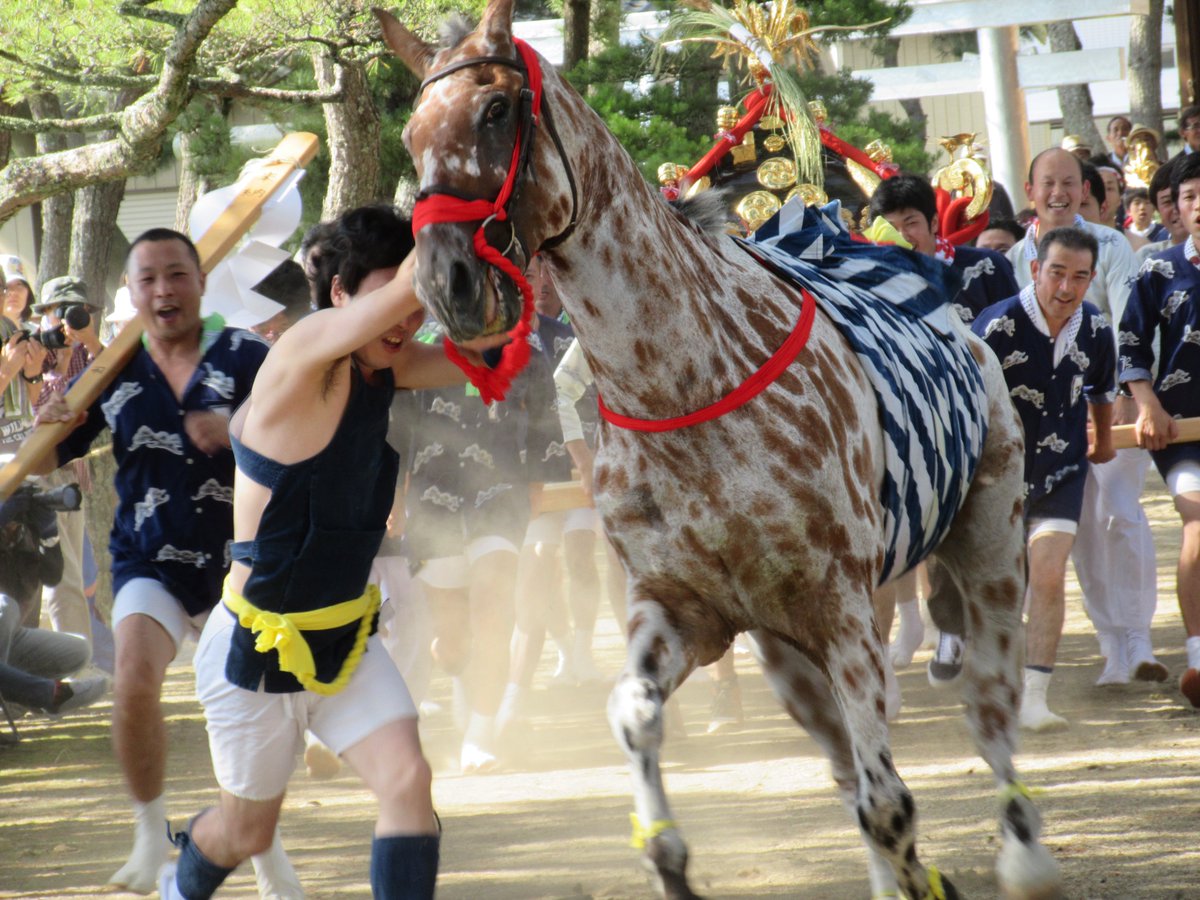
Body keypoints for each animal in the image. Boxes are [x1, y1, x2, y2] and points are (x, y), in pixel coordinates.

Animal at [375, 3, 1061, 898]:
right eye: (412, 134)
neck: (687, 383)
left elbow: (889, 804)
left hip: (988, 540)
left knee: (987, 705)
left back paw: (1025, 854)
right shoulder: (684, 606)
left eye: (494, 110)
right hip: (786, 648)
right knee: (845, 762)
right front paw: (667, 856)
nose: (447, 284)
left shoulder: (840, 604)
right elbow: (635, 716)